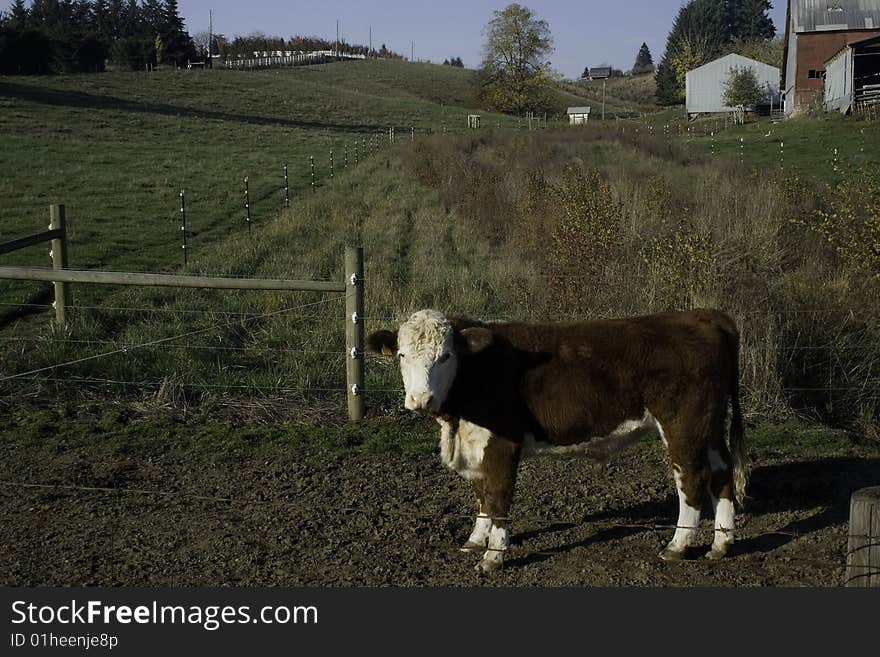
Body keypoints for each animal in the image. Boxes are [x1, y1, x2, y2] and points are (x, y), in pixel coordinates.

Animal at [368, 310, 744, 572]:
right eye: (402, 355)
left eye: (445, 355)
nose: (420, 399)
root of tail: (703, 315)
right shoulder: (475, 446)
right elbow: (482, 495)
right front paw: (475, 540)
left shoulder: (503, 445)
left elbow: (498, 497)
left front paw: (493, 555)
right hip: (709, 425)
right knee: (722, 473)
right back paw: (721, 543)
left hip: (683, 424)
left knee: (691, 480)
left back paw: (677, 545)